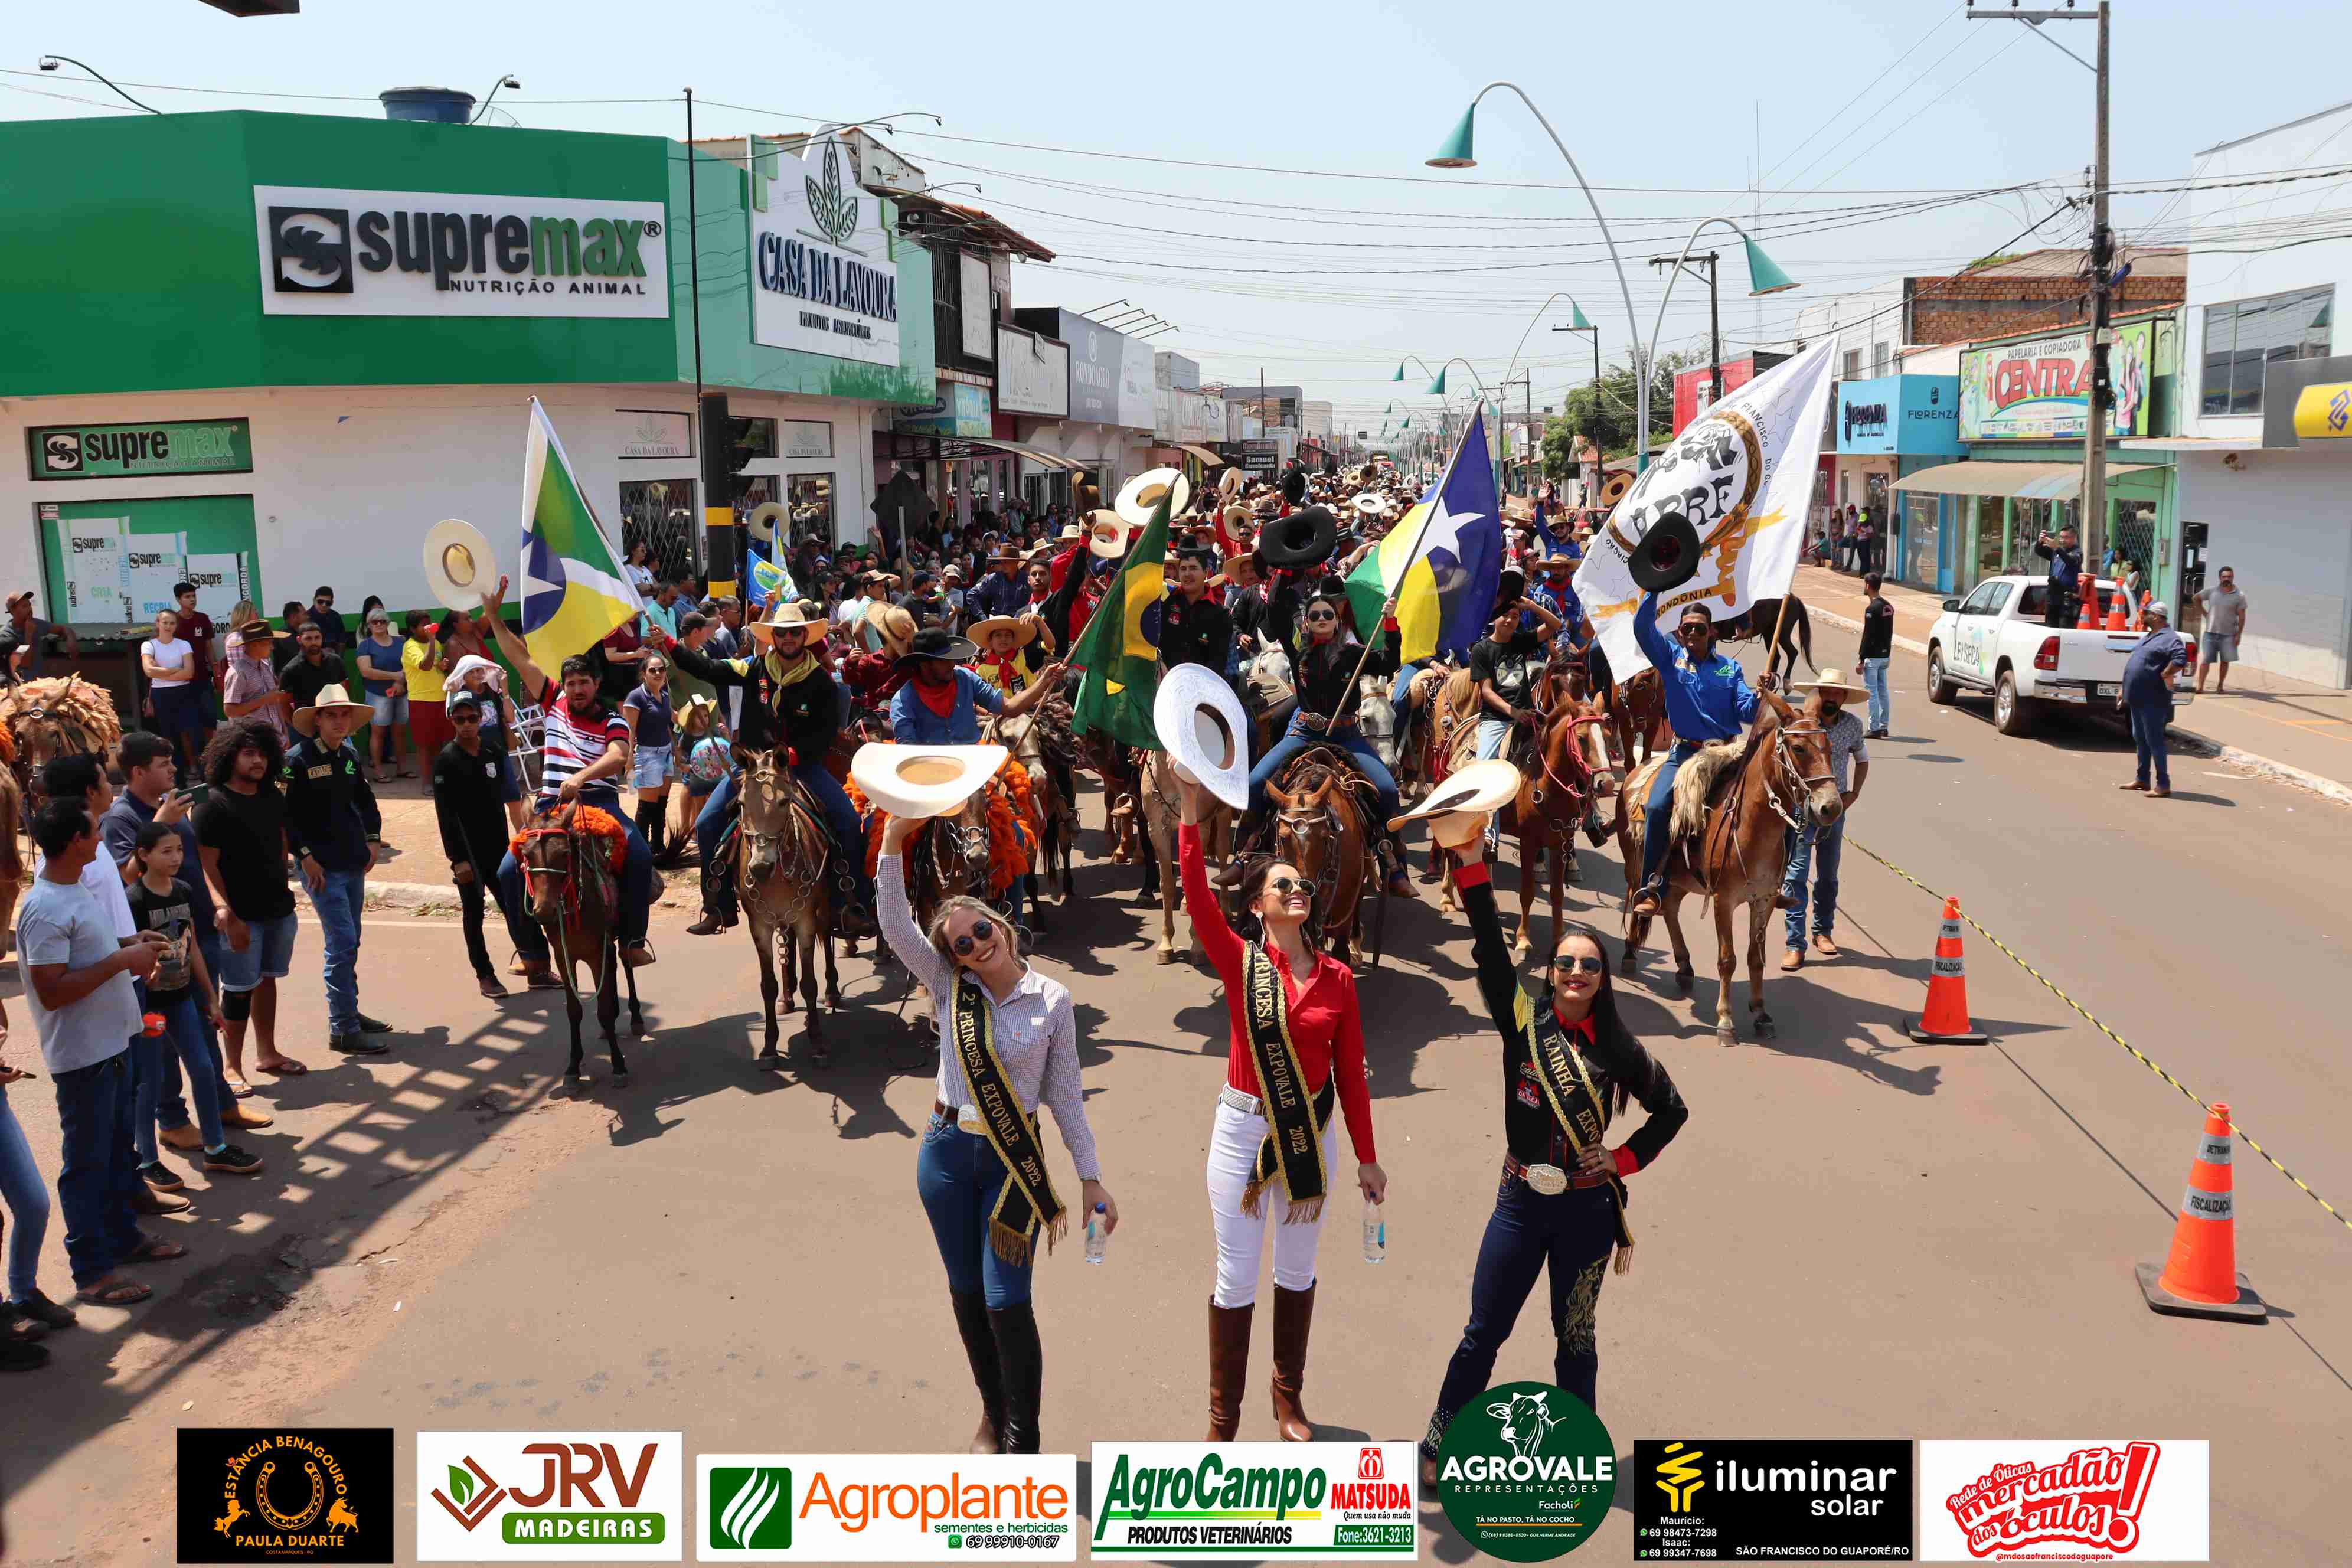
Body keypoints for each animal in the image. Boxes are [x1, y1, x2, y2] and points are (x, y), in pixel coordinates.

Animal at [513, 803, 643, 1082]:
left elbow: (603, 1009)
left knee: (627, 963)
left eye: (564, 854)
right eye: (527, 855)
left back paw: (636, 1017)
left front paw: (618, 1065)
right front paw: (573, 1067)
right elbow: (574, 1011)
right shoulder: (565, 956)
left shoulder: (597, 953)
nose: (545, 911)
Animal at [736, 746, 841, 1065]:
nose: (759, 868)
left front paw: (817, 1042)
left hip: (823, 907)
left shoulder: (806, 919)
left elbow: (810, 983)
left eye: (784, 801)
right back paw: (787, 995)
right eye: (741, 802)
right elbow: (767, 985)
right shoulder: (759, 926)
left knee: (827, 939)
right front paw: (770, 1046)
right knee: (788, 945)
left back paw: (832, 991)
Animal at [1136, 748, 1233, 964]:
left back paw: (1225, 909)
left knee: (1223, 853)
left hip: (1223, 814)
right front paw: (1166, 945)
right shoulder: (1157, 829)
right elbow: (1167, 885)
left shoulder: (1200, 826)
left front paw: (1197, 947)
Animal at [1612, 691, 1842, 1045]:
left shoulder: (1764, 901)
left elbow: (1755, 960)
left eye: (1829, 747)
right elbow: (1727, 960)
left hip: (1679, 880)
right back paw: (1630, 952)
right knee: (1642, 904)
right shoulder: (1724, 901)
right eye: (1798, 747)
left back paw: (1684, 966)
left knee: (1670, 910)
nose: (1831, 807)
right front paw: (1725, 1021)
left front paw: (1761, 1013)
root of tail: (1635, 774)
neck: (1753, 824)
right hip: (1636, 868)